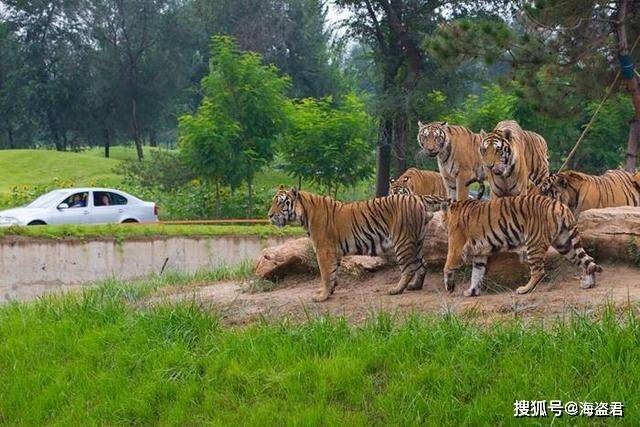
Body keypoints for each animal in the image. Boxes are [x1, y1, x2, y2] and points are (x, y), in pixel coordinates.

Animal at [268, 188, 442, 304]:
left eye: (281, 203)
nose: (269, 215)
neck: (304, 213)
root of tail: (417, 197)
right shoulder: (334, 251)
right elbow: (333, 273)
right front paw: (330, 291)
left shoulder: (323, 250)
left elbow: (325, 274)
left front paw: (322, 296)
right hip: (417, 241)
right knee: (422, 264)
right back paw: (415, 286)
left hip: (402, 240)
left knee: (409, 268)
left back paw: (396, 289)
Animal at [428, 194, 604, 298]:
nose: (441, 223)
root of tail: (560, 205)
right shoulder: (480, 254)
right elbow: (477, 273)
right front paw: (472, 291)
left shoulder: (456, 247)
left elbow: (447, 266)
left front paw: (449, 287)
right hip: (564, 242)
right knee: (587, 260)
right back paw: (588, 284)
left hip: (534, 242)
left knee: (538, 271)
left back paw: (524, 289)